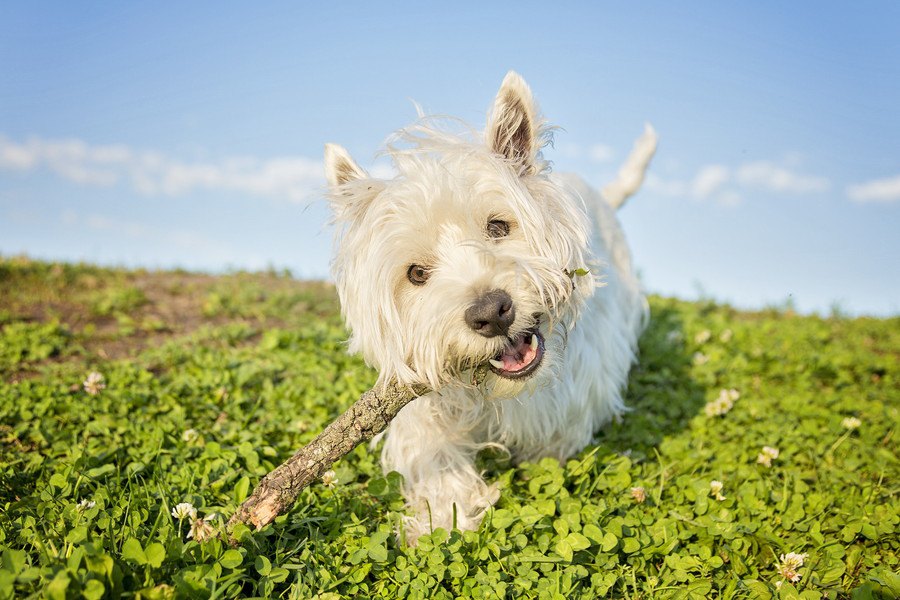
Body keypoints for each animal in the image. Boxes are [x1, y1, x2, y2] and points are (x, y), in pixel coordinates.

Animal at [324, 71, 652, 544]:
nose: (492, 313)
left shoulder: (574, 399)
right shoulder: (422, 404)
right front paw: (441, 522)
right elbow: (436, 458)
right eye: (417, 273)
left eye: (498, 227)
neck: (496, 396)